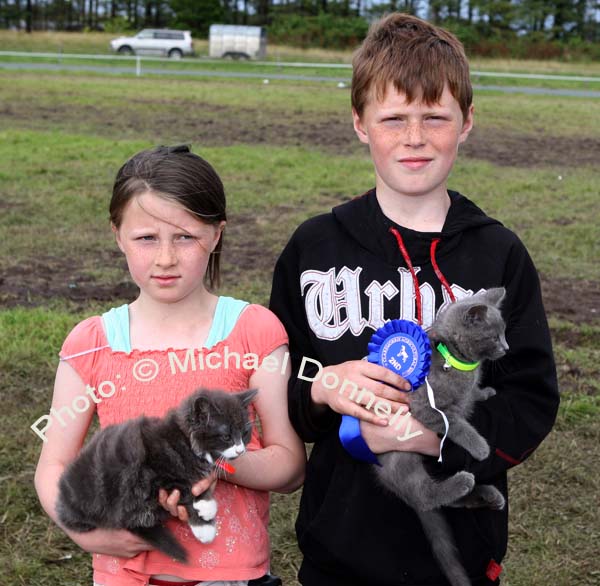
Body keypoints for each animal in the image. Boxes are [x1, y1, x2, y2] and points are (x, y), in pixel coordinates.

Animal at [57, 386, 258, 560]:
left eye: (245, 433)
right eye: (226, 437)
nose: (241, 450)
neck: (185, 441)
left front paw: (206, 503)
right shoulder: (150, 478)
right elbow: (184, 490)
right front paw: (204, 526)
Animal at [378, 286, 508, 584]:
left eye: (505, 332)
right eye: (494, 336)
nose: (507, 347)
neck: (457, 361)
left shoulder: (462, 397)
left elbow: (469, 400)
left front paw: (484, 392)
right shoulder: (424, 408)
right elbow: (456, 424)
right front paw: (480, 446)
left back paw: (486, 494)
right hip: (401, 459)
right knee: (425, 496)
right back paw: (461, 482)